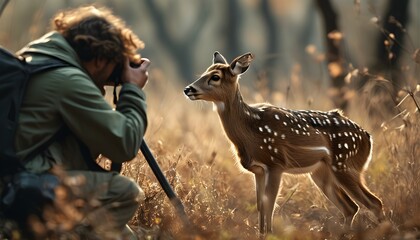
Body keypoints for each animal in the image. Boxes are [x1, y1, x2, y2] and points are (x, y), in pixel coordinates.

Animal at [182, 51, 386, 233]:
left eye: (215, 77)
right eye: (204, 73)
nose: (188, 89)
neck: (250, 130)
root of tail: (368, 138)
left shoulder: (276, 163)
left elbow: (269, 206)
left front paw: (271, 233)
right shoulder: (258, 170)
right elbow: (260, 207)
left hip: (345, 164)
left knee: (374, 202)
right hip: (322, 172)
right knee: (351, 207)